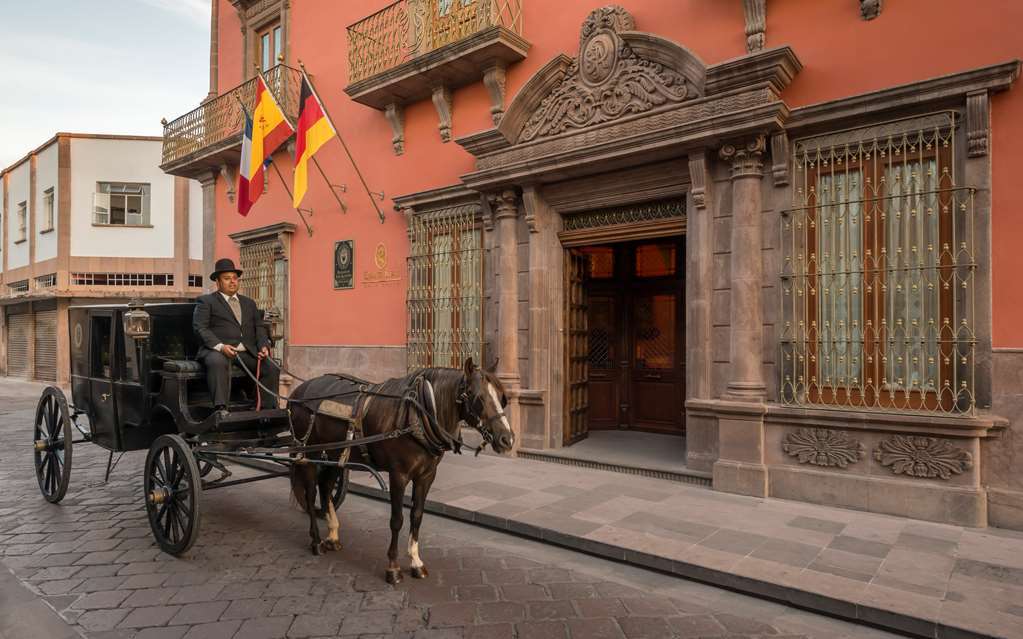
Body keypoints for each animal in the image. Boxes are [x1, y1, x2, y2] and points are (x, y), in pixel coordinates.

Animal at [286, 359, 511, 584]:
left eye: (502, 397)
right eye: (476, 396)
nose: (507, 439)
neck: (419, 414)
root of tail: (297, 391)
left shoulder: (427, 476)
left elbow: (417, 515)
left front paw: (416, 562)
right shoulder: (398, 475)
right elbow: (397, 520)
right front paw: (393, 567)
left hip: (335, 453)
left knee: (325, 486)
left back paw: (332, 536)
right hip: (309, 452)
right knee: (310, 493)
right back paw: (316, 541)